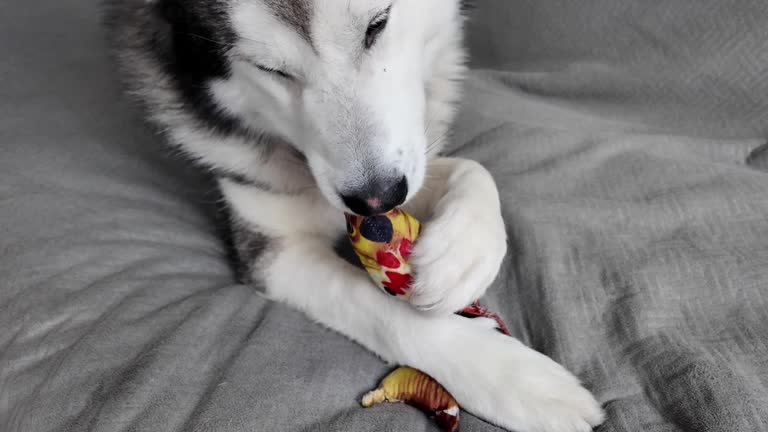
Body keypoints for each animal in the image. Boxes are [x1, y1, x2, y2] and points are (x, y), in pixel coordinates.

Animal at [103, 1, 608, 430]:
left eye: (377, 24)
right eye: (269, 69)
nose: (375, 200)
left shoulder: (410, 161)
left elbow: (471, 168)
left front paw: (464, 252)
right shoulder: (272, 250)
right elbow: (379, 311)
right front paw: (510, 376)